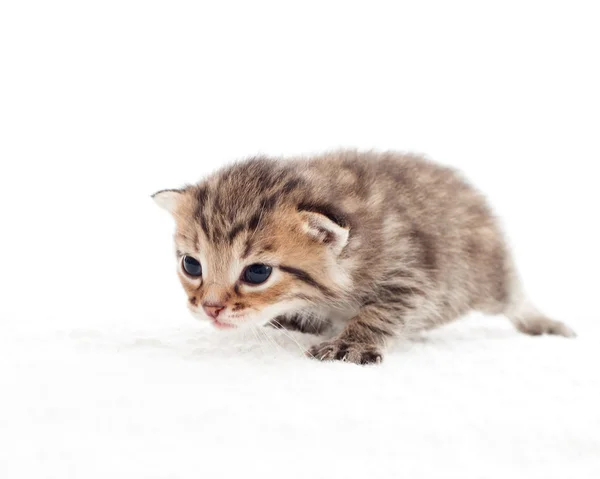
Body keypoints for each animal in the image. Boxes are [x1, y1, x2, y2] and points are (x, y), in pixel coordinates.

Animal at [152, 149, 576, 364]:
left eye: (257, 273)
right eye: (192, 265)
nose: (210, 308)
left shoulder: (413, 273)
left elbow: (379, 311)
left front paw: (349, 344)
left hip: (487, 276)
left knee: (513, 297)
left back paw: (544, 323)